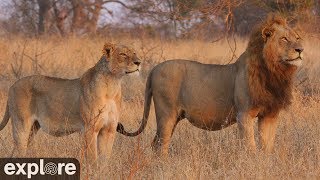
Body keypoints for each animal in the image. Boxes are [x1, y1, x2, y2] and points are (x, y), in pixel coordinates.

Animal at [0, 43, 141, 162]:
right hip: (21, 125)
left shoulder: (109, 130)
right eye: (123, 54)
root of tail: (12, 86)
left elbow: (105, 159)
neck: (113, 84)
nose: (139, 62)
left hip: (33, 128)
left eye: (135, 53)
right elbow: (93, 158)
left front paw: (103, 173)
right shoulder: (90, 129)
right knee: (19, 150)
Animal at [117, 13, 302, 155]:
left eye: (297, 38)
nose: (300, 50)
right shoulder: (244, 114)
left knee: (155, 143)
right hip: (166, 114)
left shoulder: (269, 115)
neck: (275, 71)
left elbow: (267, 146)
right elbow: (250, 146)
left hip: (174, 117)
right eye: (284, 39)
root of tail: (154, 69)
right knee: (161, 144)